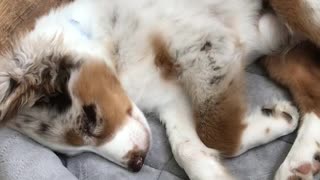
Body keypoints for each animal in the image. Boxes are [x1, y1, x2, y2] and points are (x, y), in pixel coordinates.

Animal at [0, 0, 296, 179]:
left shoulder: (203, 41)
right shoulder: (171, 99)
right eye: (69, 154)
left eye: (90, 119)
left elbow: (216, 131)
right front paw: (281, 118)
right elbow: (190, 149)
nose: (137, 163)